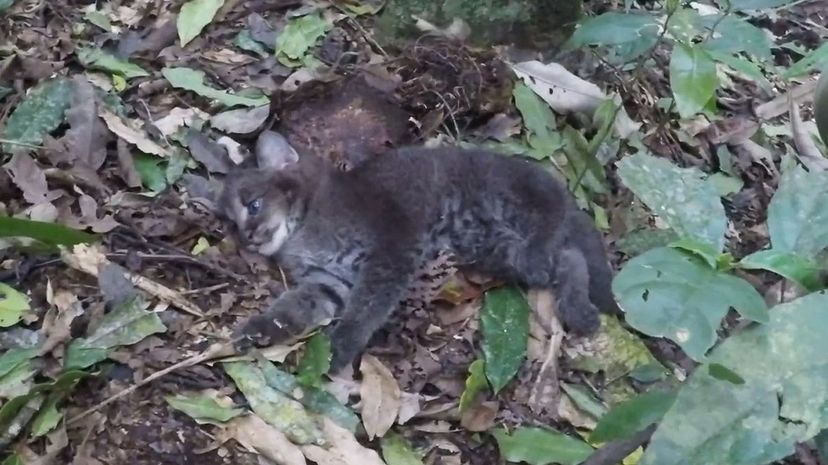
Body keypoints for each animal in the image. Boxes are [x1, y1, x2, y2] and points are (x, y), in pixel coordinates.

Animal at [217, 141, 616, 370]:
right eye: (233, 223)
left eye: (253, 205)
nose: (248, 238)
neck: (303, 227)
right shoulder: (328, 281)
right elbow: (292, 308)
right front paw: (260, 327)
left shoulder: (393, 250)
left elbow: (369, 305)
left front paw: (343, 344)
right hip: (499, 249)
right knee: (568, 257)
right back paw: (579, 310)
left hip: (518, 205)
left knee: (553, 230)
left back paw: (575, 300)